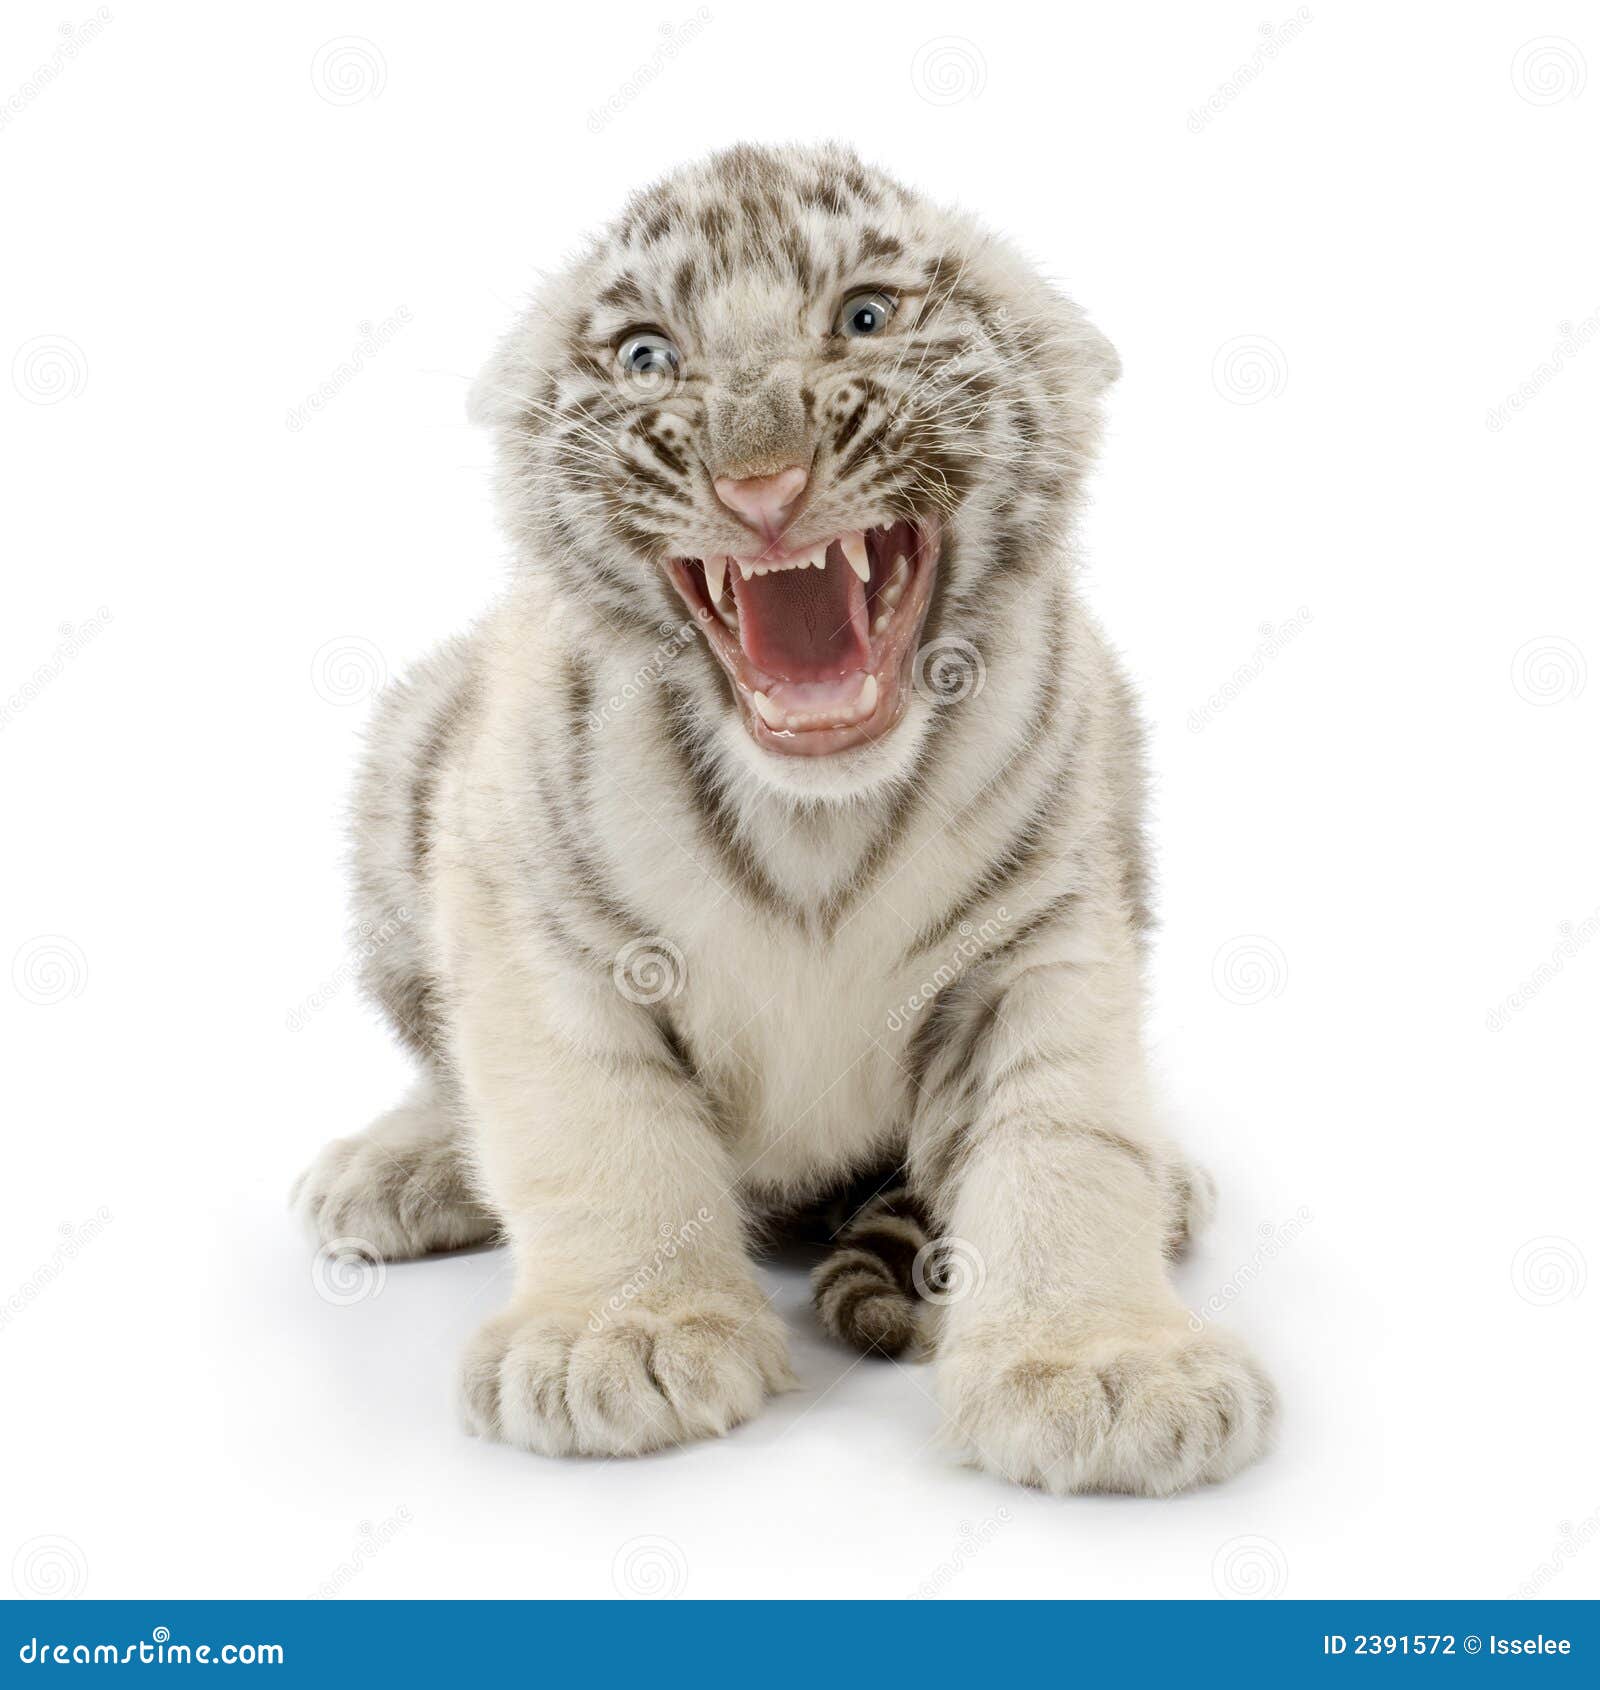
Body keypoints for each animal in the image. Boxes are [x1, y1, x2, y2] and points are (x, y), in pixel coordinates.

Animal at [291, 142, 1277, 1496]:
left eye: (863, 317)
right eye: (648, 356)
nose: (759, 481)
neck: (816, 815)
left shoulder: (1045, 938)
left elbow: (1065, 1141)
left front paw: (1102, 1367)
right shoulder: (535, 928)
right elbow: (592, 1128)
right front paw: (624, 1336)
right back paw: (397, 1169)